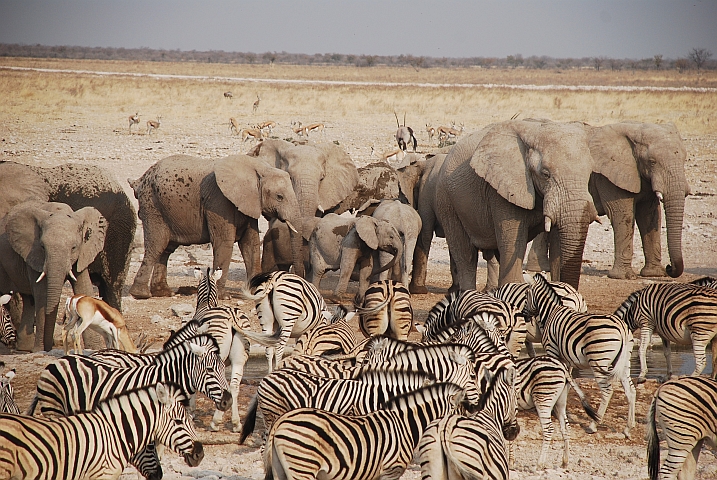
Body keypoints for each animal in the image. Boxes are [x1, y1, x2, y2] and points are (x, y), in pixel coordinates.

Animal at [264, 382, 469, 480]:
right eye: (461, 412)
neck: (405, 425)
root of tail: (281, 420)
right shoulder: (391, 469)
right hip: (302, 466)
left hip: (282, 468)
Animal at [525, 272, 636, 437]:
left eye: (527, 294)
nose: (523, 314)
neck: (551, 311)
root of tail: (622, 327)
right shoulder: (566, 358)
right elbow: (567, 381)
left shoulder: (552, 350)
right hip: (624, 362)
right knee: (631, 391)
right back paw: (628, 428)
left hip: (599, 360)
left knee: (607, 391)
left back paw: (593, 424)